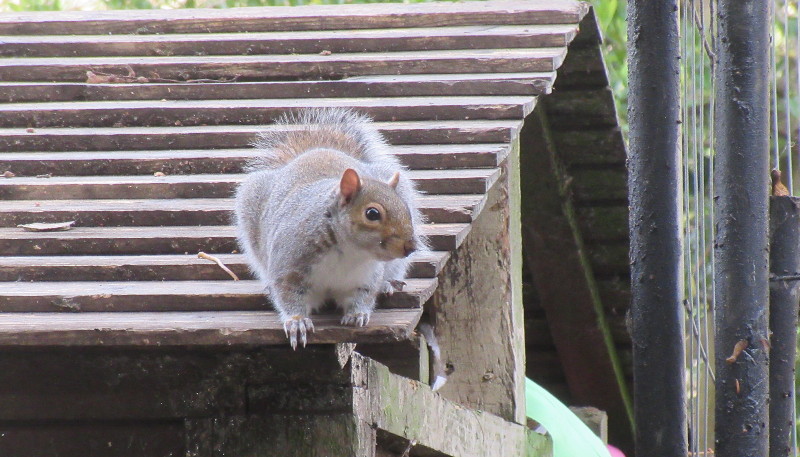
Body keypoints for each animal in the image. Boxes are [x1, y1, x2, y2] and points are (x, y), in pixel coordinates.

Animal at [234, 108, 428, 350]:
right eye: (372, 214)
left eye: (405, 207)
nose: (411, 246)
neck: (349, 251)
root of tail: (318, 150)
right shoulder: (289, 264)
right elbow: (288, 293)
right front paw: (297, 322)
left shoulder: (366, 277)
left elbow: (364, 295)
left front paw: (357, 314)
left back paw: (387, 284)